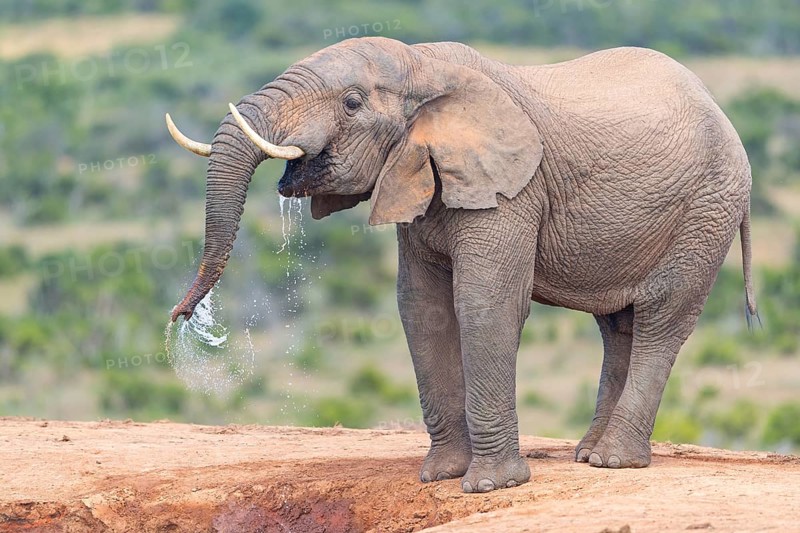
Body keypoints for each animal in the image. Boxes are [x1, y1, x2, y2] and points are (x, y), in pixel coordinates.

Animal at [166, 37, 757, 493]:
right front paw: (442, 477)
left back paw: (614, 462)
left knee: (661, 320)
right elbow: (421, 309)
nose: (181, 317)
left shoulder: (513, 189)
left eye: (352, 103)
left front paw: (490, 485)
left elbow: (484, 304)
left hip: (706, 211)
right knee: (618, 326)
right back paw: (588, 455)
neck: (424, 65)